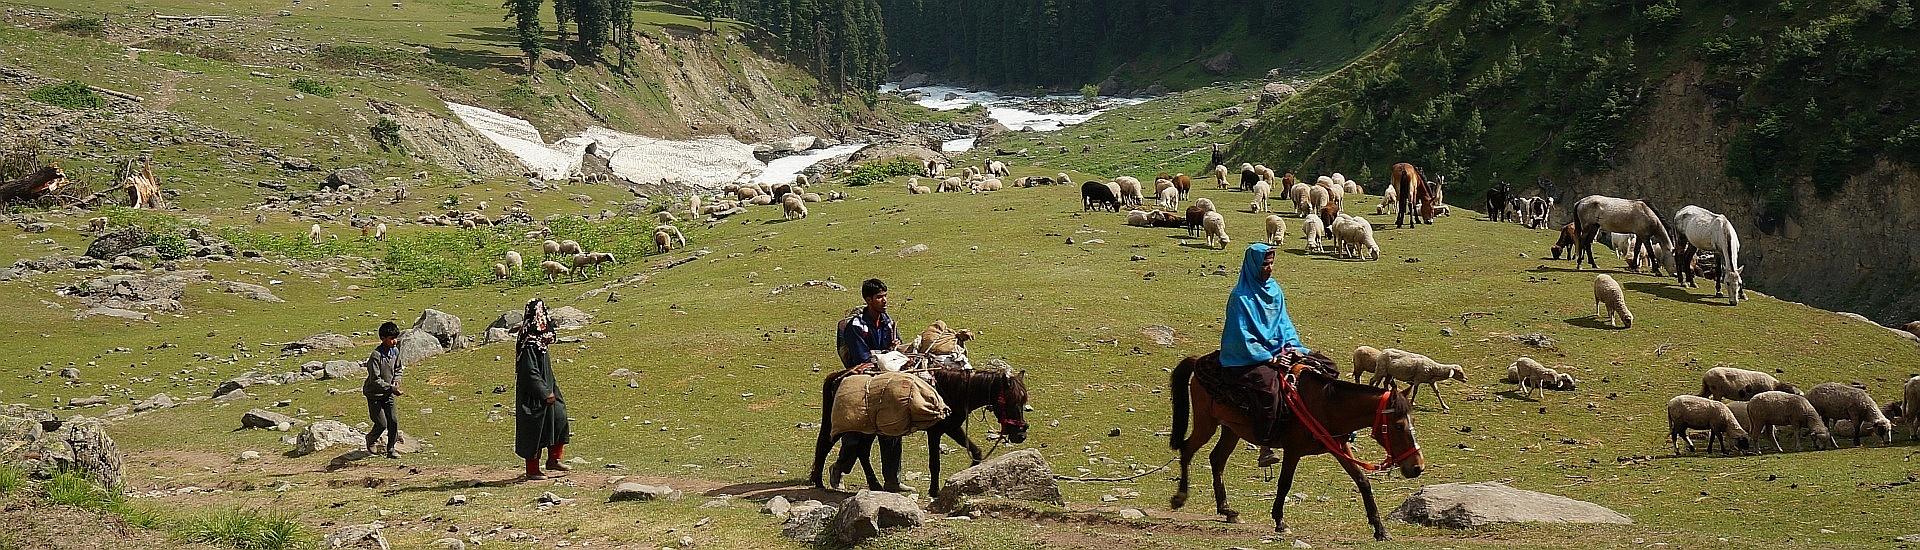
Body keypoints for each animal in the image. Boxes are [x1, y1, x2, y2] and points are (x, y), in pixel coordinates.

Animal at [810, 365, 1029, 500]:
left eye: (1023, 401)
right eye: (1012, 401)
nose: (1020, 435)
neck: (953, 391)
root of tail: (838, 375)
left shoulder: (951, 427)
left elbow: (976, 452)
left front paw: (970, 476)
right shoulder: (936, 431)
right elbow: (934, 463)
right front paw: (934, 491)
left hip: (868, 427)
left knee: (861, 451)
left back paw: (875, 485)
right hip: (847, 423)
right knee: (825, 444)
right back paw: (818, 481)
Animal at [1159, 351, 1420, 542]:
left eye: (1412, 422)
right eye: (1398, 426)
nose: (1417, 467)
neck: (1325, 405)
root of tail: (1198, 362)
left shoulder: (1339, 447)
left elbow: (1362, 481)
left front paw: (1380, 529)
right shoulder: (1293, 450)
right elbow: (1285, 483)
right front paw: (1280, 521)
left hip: (1231, 429)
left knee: (1217, 459)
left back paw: (1227, 511)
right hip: (1207, 423)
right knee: (1187, 449)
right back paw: (1180, 498)